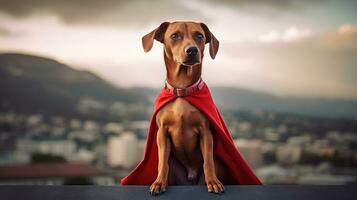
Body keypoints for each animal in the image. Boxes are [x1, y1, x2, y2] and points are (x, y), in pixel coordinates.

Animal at [141, 21, 225, 195]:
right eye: (174, 36)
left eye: (199, 35)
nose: (192, 50)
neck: (182, 91)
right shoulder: (162, 133)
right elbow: (162, 163)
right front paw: (159, 182)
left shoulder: (206, 132)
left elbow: (208, 161)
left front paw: (213, 182)